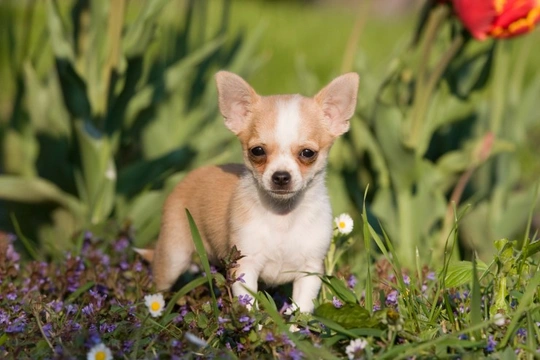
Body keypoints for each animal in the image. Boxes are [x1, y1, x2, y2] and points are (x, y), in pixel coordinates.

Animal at [142, 71, 358, 314]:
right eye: (258, 151)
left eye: (307, 153)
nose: (281, 176)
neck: (282, 216)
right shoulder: (245, 266)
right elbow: (248, 305)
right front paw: (252, 322)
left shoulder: (309, 271)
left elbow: (301, 308)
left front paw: (295, 324)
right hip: (174, 256)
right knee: (160, 284)